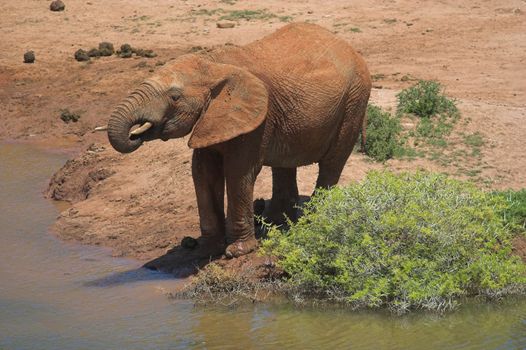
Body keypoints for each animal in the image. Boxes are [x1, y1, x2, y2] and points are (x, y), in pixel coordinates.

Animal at [105, 22, 374, 260]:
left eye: (174, 97)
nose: (134, 134)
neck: (213, 64)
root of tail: (351, 48)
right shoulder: (212, 119)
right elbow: (203, 172)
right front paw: (206, 251)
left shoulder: (257, 117)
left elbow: (238, 172)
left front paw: (236, 252)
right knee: (284, 164)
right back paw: (276, 223)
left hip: (355, 100)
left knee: (331, 163)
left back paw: (312, 221)